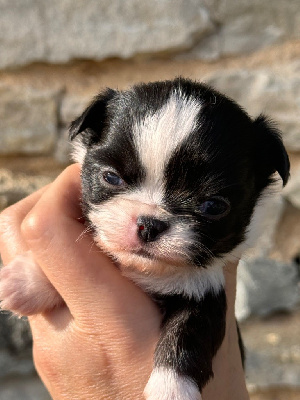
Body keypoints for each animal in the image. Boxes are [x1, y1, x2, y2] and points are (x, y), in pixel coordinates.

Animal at [0, 79, 290, 400]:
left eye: (213, 206)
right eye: (111, 177)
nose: (149, 224)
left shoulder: (204, 289)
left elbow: (187, 334)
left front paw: (172, 389)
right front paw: (26, 280)